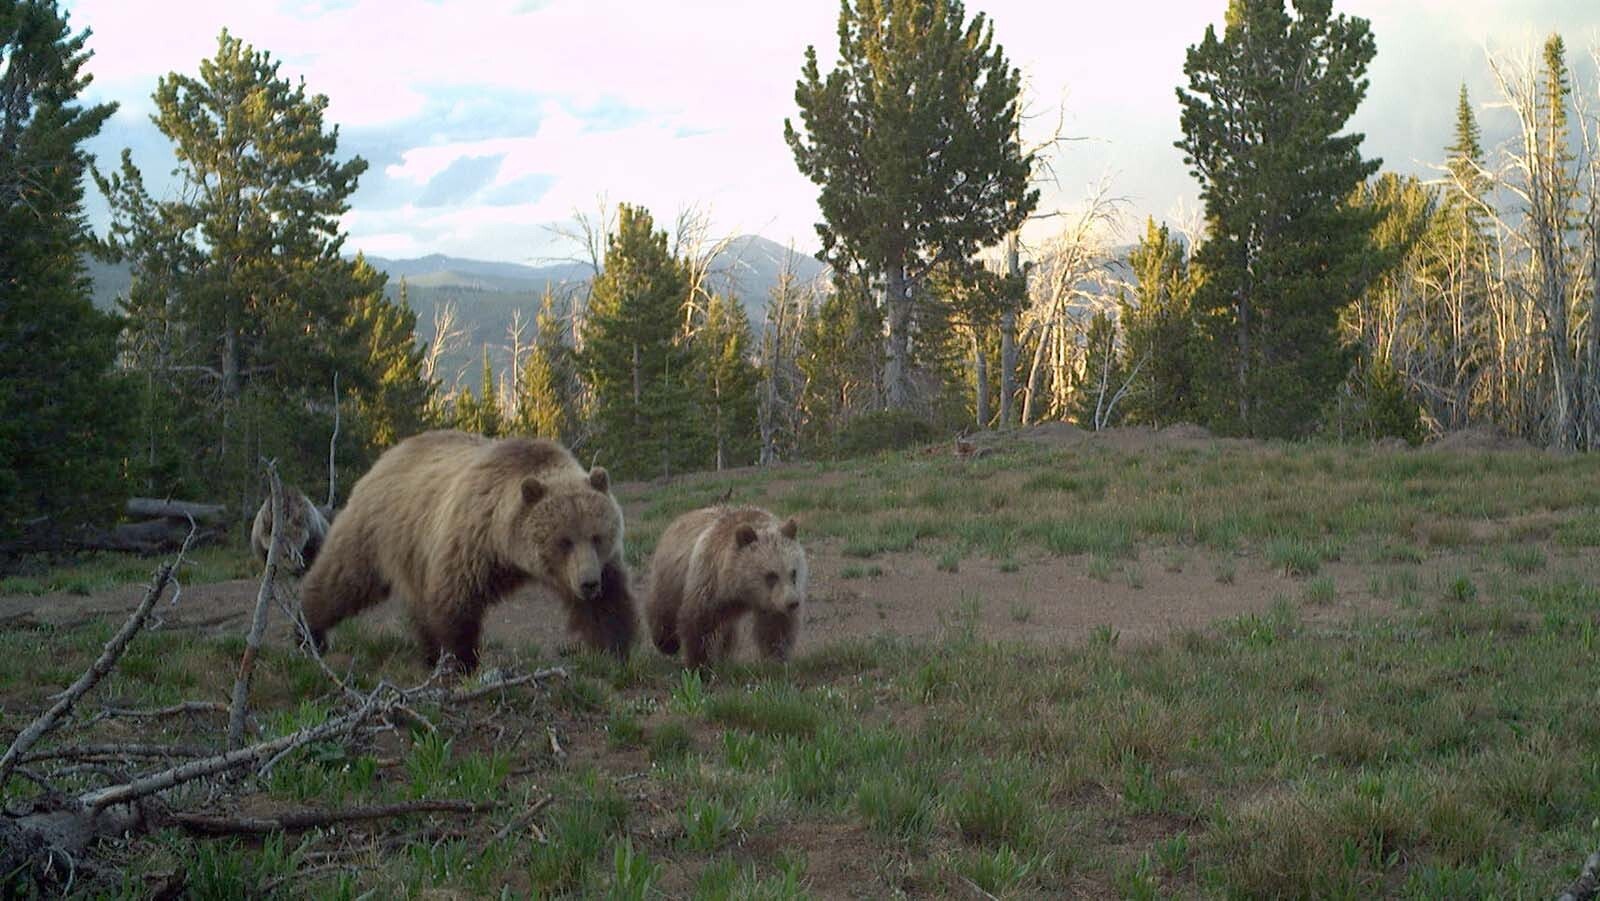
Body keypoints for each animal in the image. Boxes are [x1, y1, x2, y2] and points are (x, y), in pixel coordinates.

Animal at [298, 429, 637, 672]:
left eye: (597, 536)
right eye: (563, 540)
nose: (588, 583)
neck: (507, 550)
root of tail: (386, 456)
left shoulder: (597, 564)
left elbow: (608, 604)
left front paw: (613, 651)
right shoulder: (471, 544)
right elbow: (455, 602)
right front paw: (463, 661)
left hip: (412, 553)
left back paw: (428, 654)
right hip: (375, 531)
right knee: (342, 579)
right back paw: (309, 632)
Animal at [646, 506, 806, 669]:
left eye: (793, 572)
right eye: (771, 575)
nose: (792, 602)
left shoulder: (771, 602)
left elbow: (776, 628)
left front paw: (776, 659)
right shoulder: (708, 581)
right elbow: (698, 624)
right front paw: (699, 664)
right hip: (671, 576)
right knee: (663, 608)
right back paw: (666, 643)